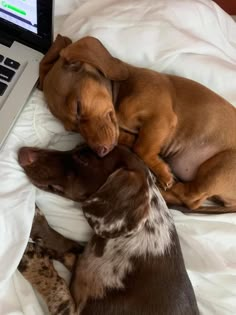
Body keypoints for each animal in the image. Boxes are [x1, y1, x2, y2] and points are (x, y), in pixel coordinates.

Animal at [18, 145, 199, 315]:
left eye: (82, 158)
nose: (23, 152)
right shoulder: (81, 260)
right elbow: (66, 244)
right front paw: (36, 226)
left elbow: (57, 287)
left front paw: (32, 259)